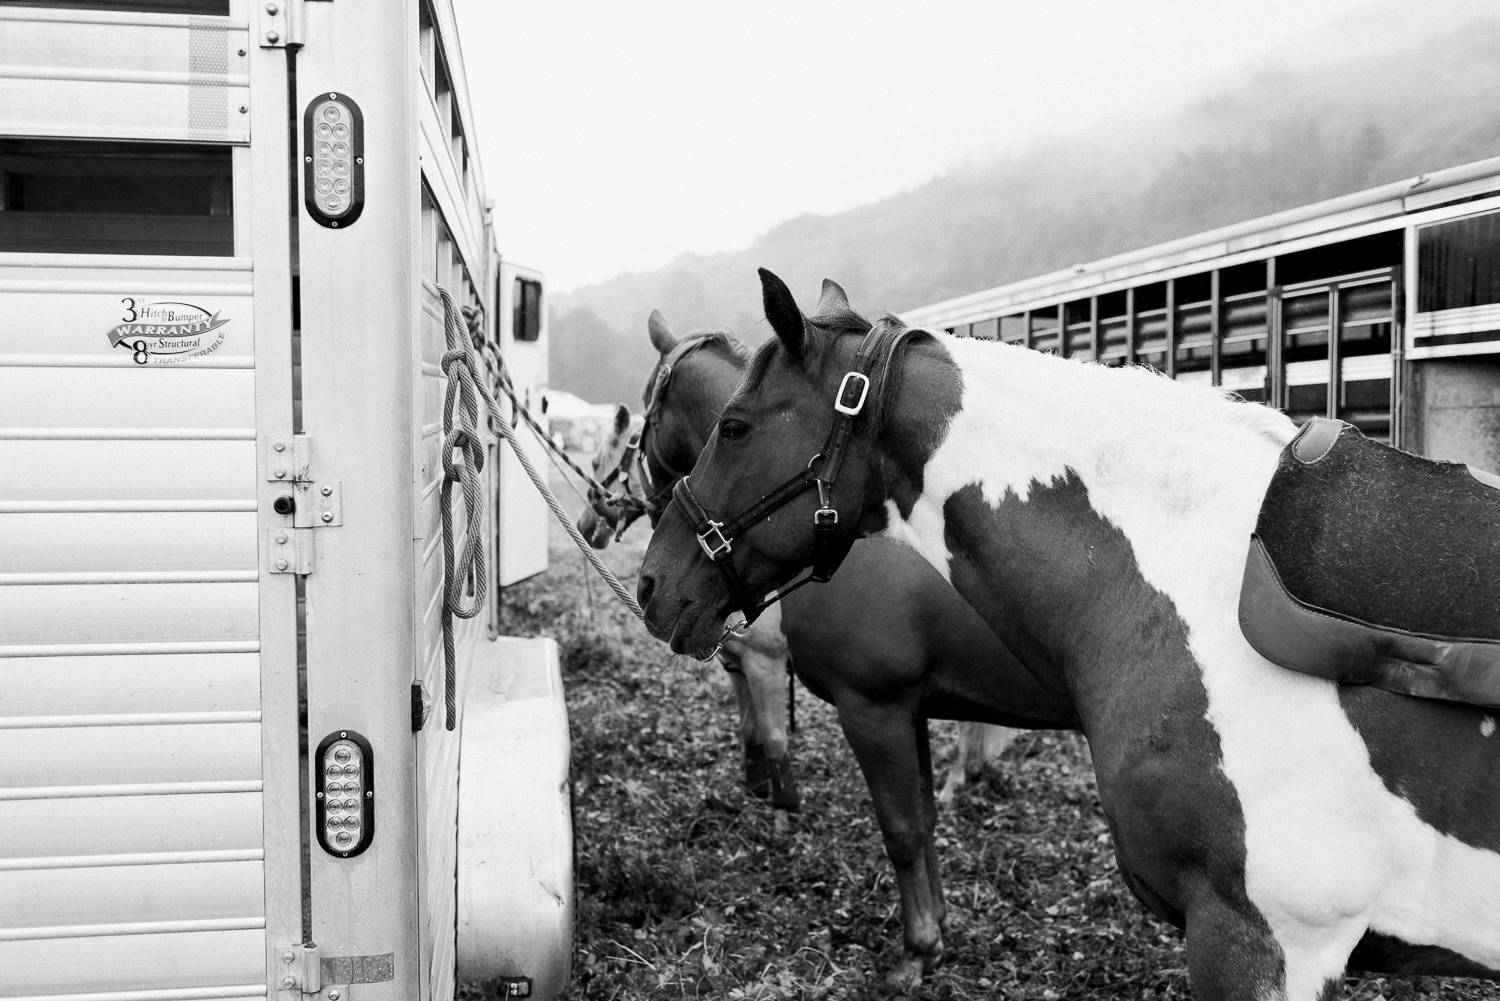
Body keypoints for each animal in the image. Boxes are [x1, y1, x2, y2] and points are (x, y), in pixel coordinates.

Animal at [639, 265, 1500, 1001]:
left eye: (736, 427)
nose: (652, 582)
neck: (1204, 579)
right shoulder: (900, 703)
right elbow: (917, 818)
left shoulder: (1266, 942)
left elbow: (903, 826)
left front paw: (916, 951)